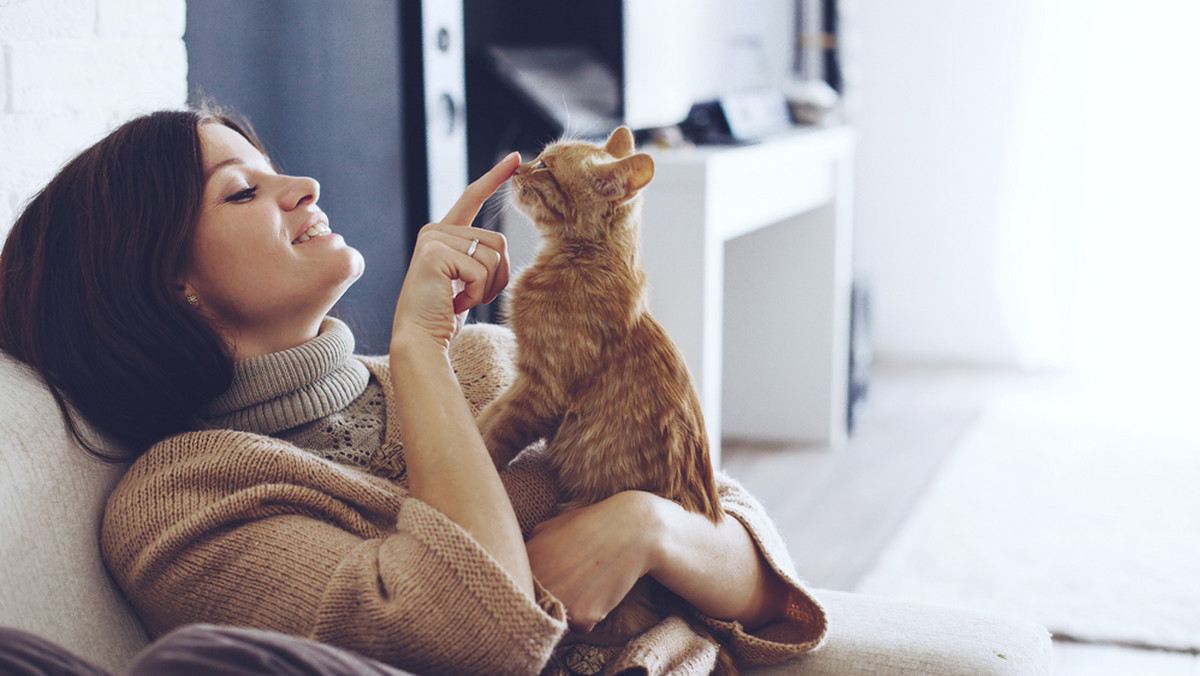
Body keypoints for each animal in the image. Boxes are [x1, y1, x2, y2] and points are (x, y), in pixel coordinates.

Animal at [477, 127, 729, 672]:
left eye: (547, 168)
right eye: (539, 157)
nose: (518, 166)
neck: (579, 260)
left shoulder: (540, 391)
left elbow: (493, 432)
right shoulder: (526, 383)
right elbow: (487, 415)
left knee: (626, 627)